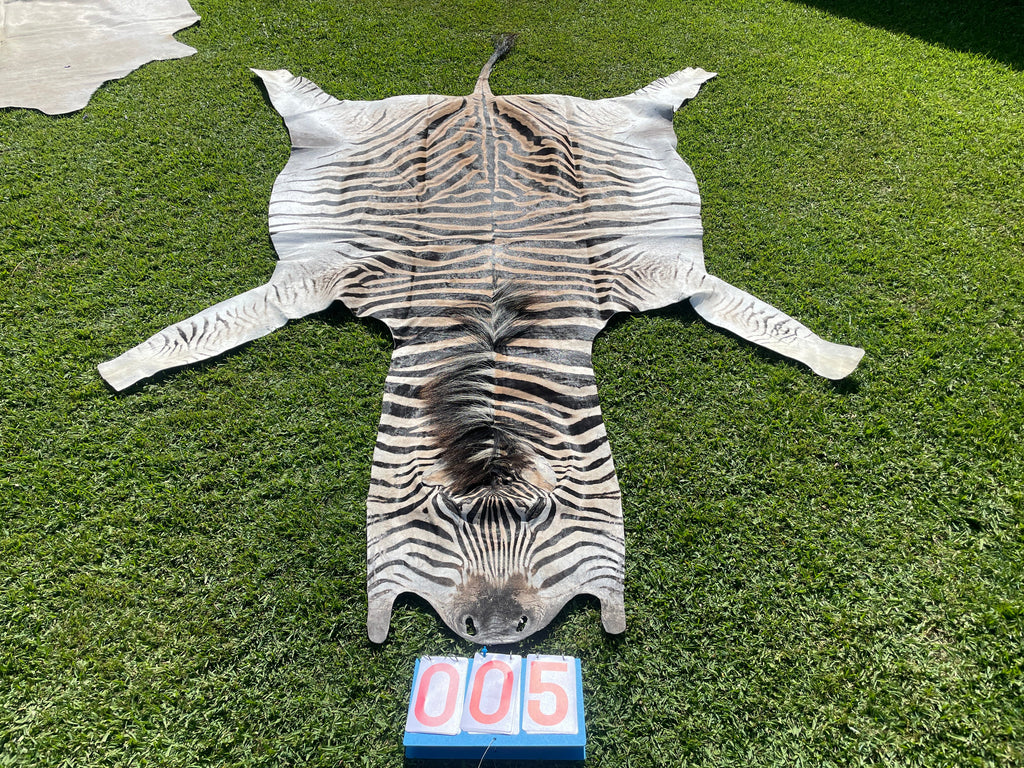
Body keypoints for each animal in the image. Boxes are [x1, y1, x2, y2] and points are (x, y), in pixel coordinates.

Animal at [99, 37, 863, 644]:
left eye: (543, 518)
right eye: (441, 521)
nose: (495, 633)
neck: (491, 341)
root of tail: (482, 100)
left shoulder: (658, 269)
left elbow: (760, 316)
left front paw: (837, 360)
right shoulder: (321, 274)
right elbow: (199, 329)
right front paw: (122, 367)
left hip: (613, 123)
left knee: (649, 102)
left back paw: (688, 75)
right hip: (344, 130)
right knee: (306, 102)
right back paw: (270, 70)